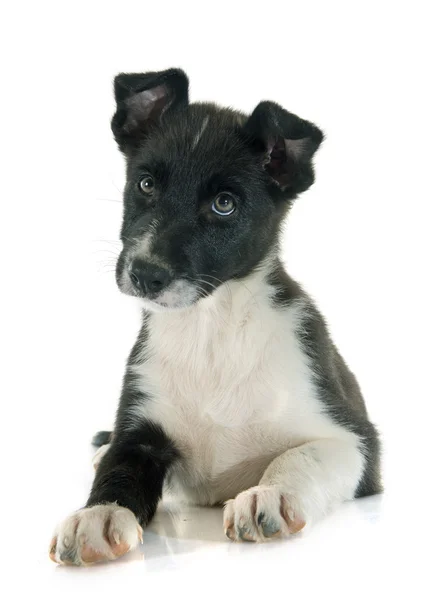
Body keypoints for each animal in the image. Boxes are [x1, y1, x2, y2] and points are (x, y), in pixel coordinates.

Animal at [48, 68, 382, 564]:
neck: (211, 328)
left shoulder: (356, 443)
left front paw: (269, 495)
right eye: (146, 184)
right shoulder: (141, 428)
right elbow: (118, 467)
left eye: (225, 204)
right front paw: (97, 514)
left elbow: (298, 456)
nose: (145, 274)